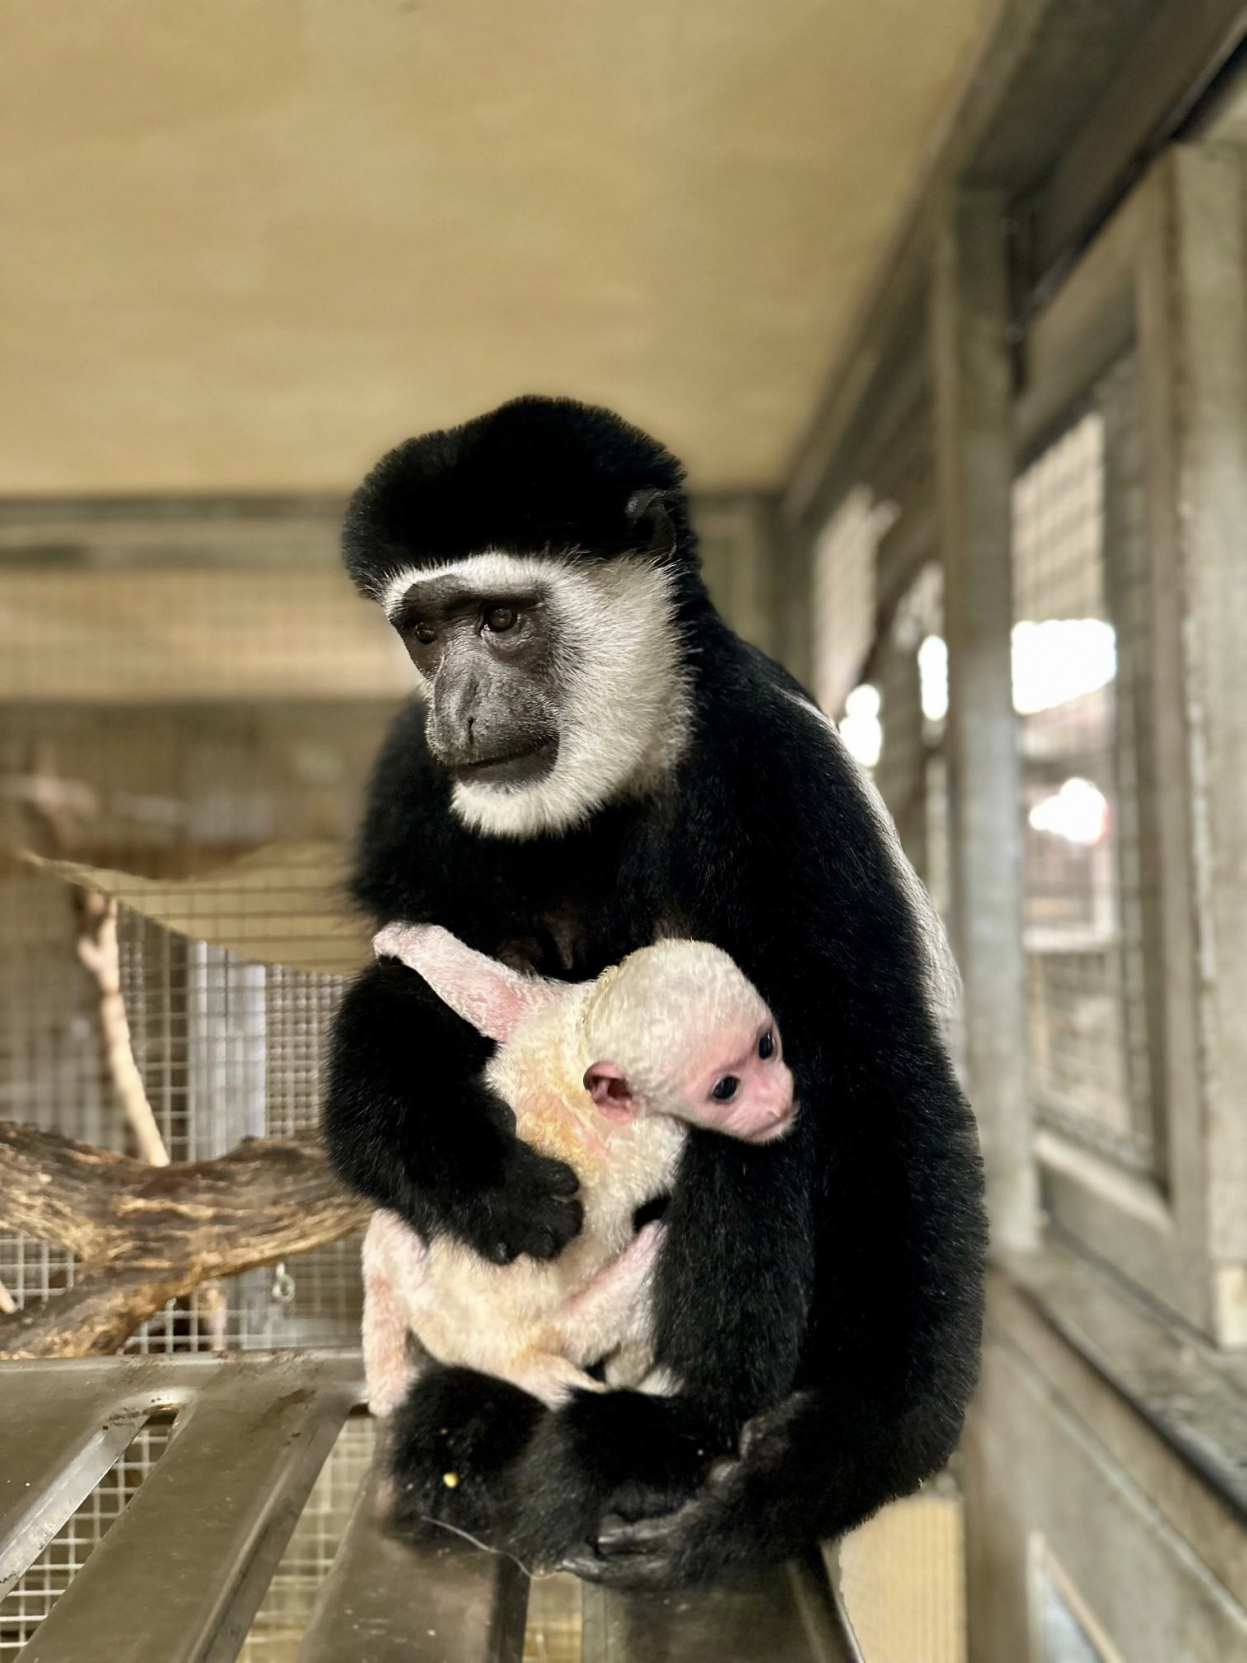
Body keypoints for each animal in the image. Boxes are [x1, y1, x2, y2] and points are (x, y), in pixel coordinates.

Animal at [361, 923, 795, 1417]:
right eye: (726, 1088)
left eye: (766, 1046)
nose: (779, 1101)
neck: (593, 1053)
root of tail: (497, 1355)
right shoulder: (662, 1130)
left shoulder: (563, 1011)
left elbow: (490, 994)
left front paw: (404, 941)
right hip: (572, 1329)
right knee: (649, 1260)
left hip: (426, 1298)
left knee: (387, 1240)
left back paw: (388, 1389)